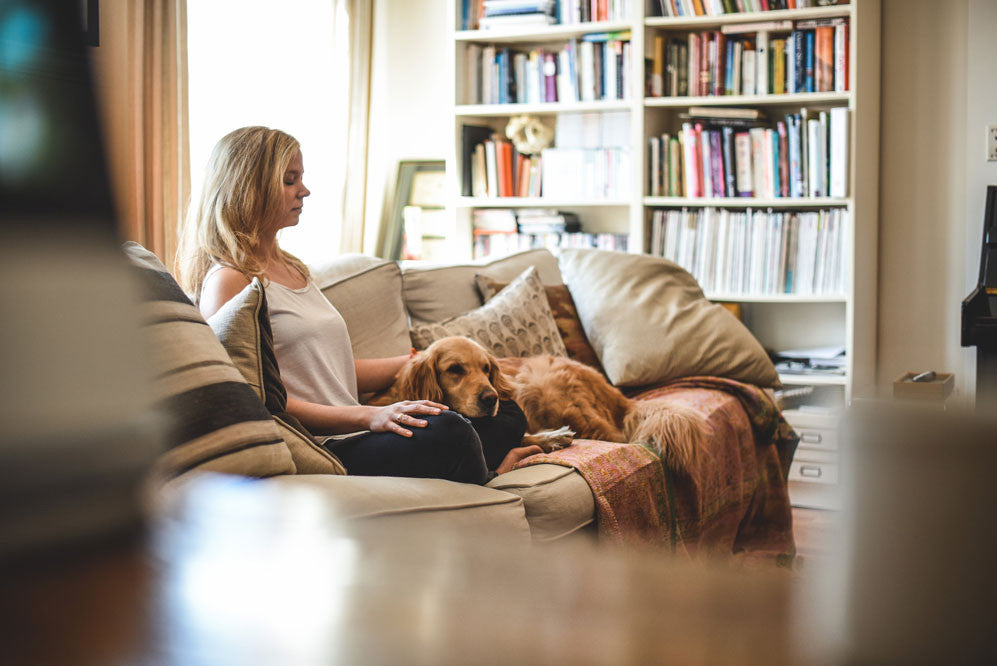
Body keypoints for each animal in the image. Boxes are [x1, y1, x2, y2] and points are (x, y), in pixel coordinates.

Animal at [370, 334, 704, 470]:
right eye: (455, 369)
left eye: (487, 369)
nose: (491, 398)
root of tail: (615, 392)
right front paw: (551, 438)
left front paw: (552, 438)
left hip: (543, 386)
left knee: (618, 437)